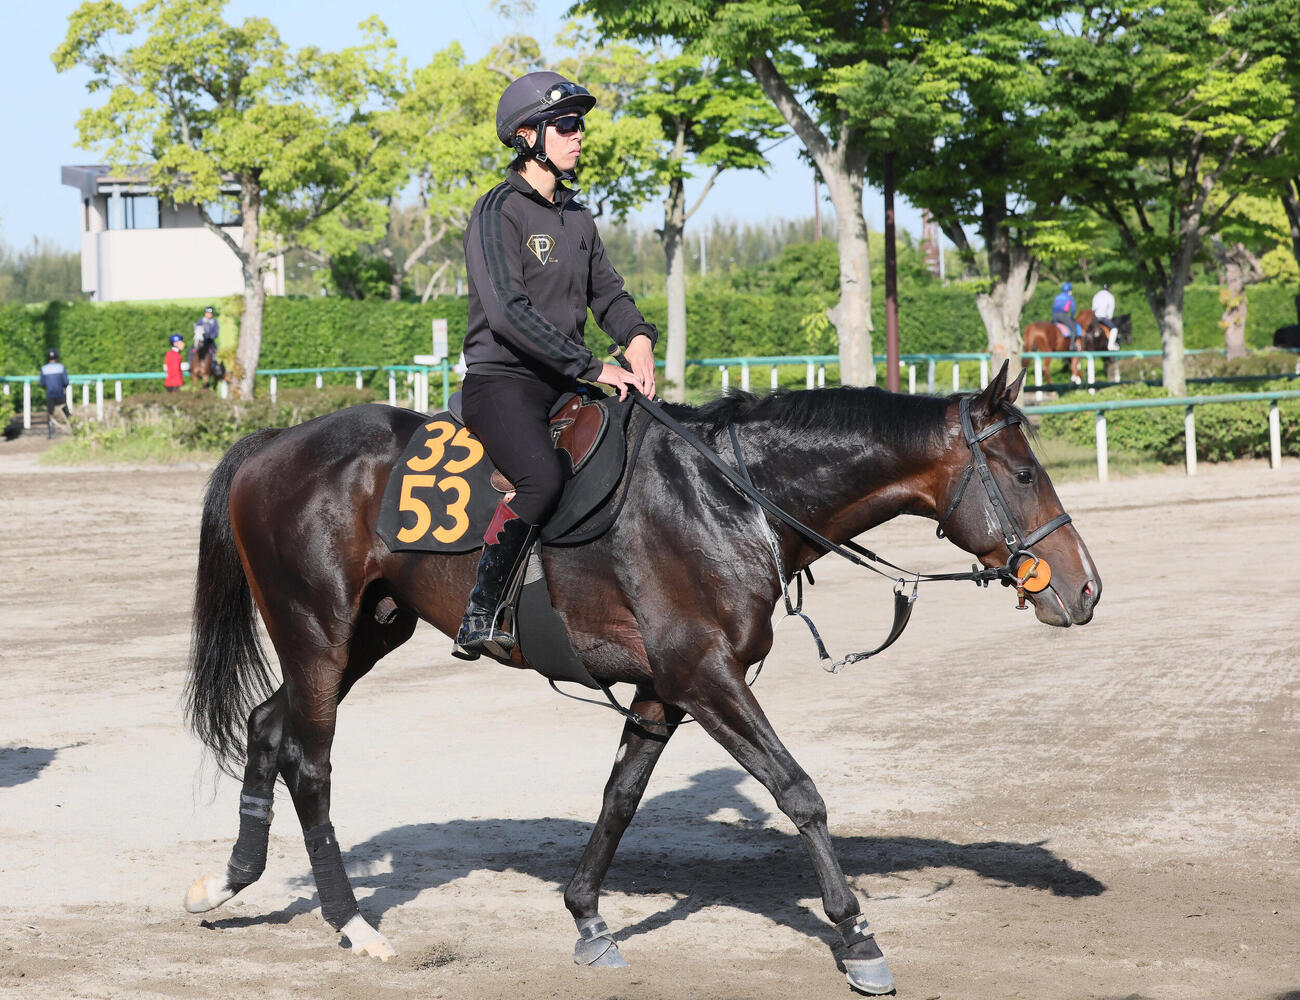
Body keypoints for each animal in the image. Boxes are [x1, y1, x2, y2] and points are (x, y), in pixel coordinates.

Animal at [181, 362, 1100, 995]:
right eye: (1024, 474)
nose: (1085, 587)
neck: (727, 497)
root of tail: (274, 443)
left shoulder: (666, 690)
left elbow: (619, 800)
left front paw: (588, 919)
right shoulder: (707, 677)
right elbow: (799, 792)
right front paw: (858, 939)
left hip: (365, 633)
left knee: (268, 727)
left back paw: (228, 879)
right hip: (317, 632)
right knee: (310, 765)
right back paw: (352, 924)